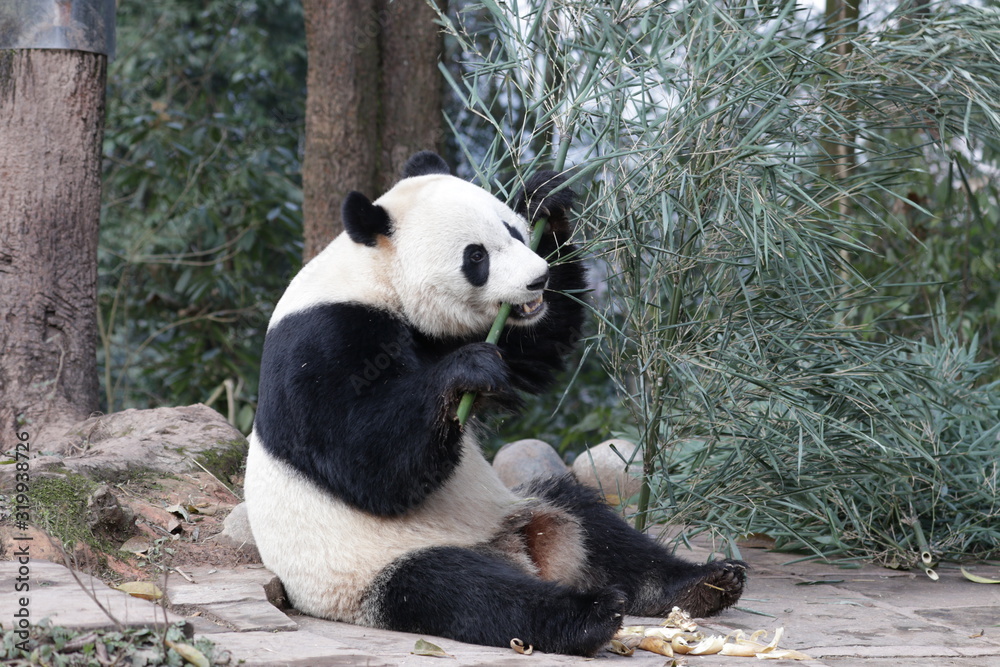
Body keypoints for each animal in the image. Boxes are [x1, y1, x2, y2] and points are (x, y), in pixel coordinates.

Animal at [244, 151, 746, 657]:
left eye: (514, 231)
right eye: (476, 256)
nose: (538, 279)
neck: (376, 278)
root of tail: (516, 553)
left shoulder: (461, 331)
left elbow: (540, 345)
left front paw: (546, 197)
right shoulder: (322, 340)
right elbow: (365, 463)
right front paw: (468, 371)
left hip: (521, 505)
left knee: (597, 527)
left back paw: (703, 583)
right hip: (370, 570)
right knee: (460, 589)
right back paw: (589, 615)